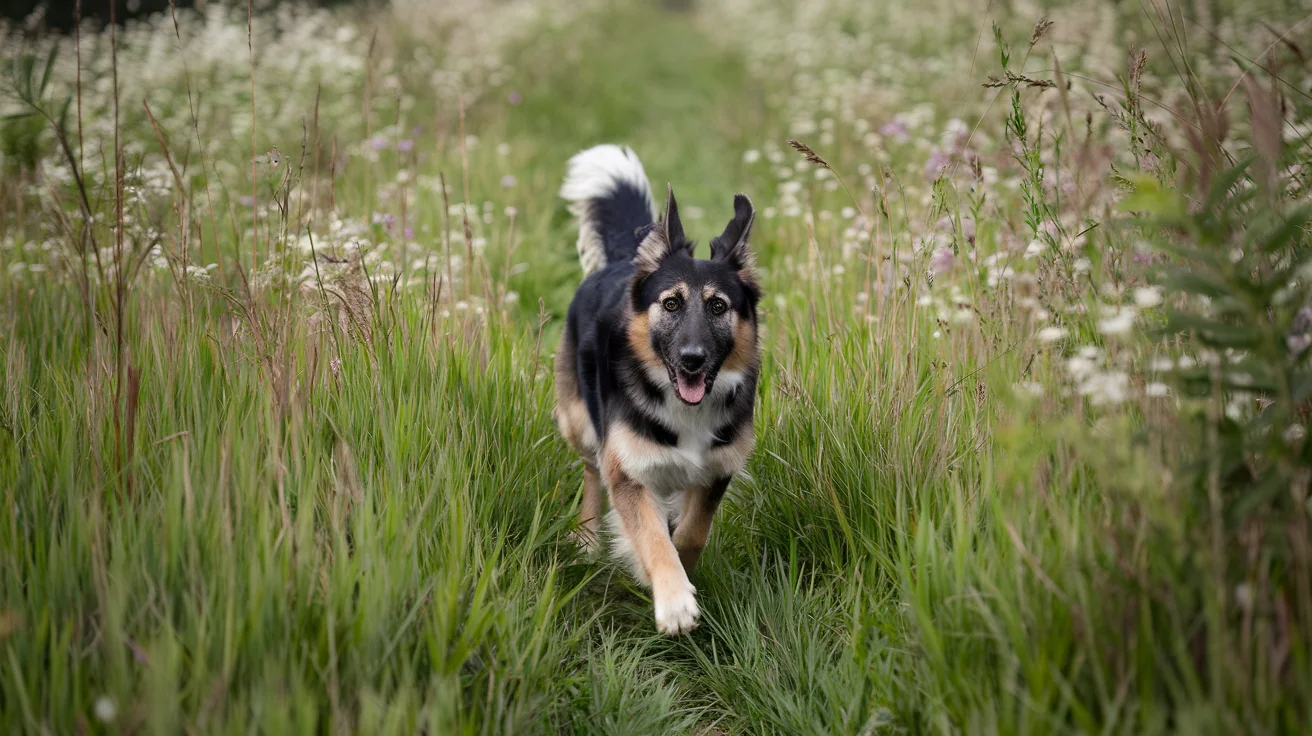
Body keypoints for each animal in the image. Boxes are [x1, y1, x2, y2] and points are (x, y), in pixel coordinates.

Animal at [551, 144, 760, 637]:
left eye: (718, 306)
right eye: (671, 303)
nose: (692, 359)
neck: (684, 407)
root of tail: (623, 261)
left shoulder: (718, 468)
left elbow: (691, 533)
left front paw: (680, 564)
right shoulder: (628, 470)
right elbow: (651, 537)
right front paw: (672, 598)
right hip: (579, 423)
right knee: (590, 472)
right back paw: (586, 538)